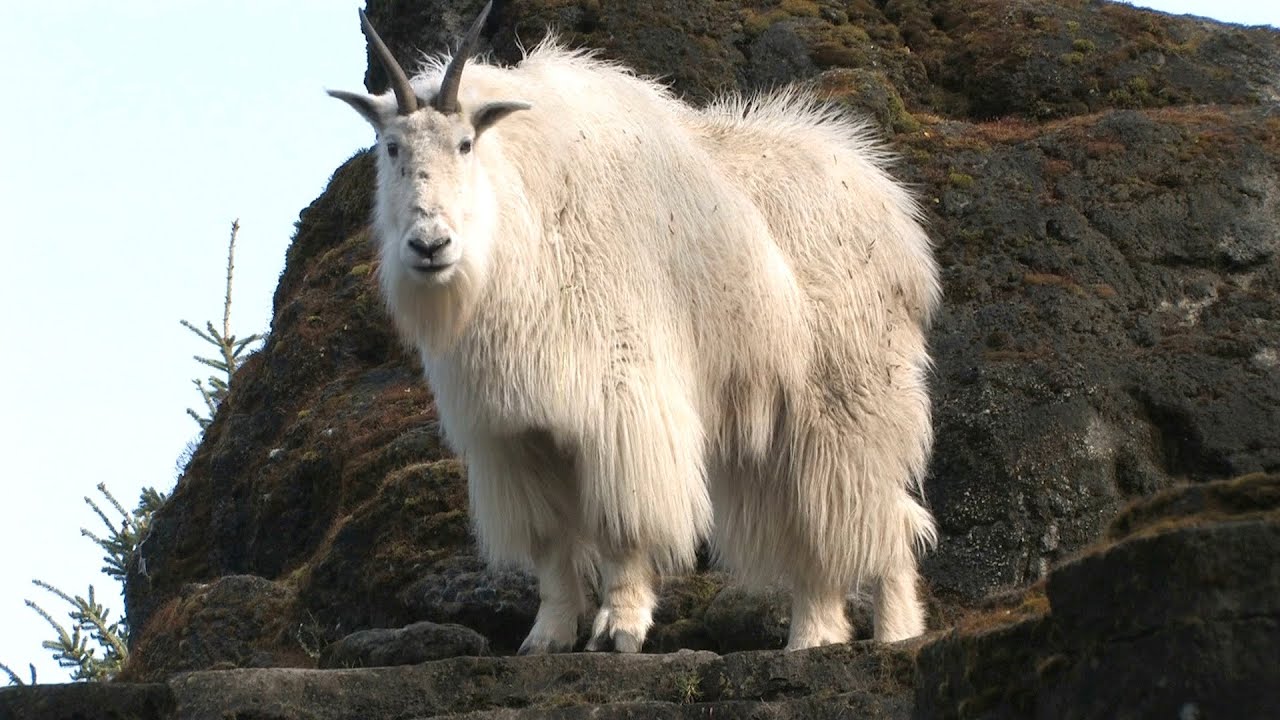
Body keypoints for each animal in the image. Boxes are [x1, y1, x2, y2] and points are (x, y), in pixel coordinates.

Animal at [328, 1, 941, 653]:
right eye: (391, 147)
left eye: (466, 143)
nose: (430, 245)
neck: (526, 221)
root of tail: (900, 223)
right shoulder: (518, 432)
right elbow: (550, 543)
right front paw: (546, 637)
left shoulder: (620, 402)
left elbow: (623, 525)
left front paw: (619, 629)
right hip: (785, 424)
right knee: (817, 530)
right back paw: (811, 636)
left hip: (853, 401)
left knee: (877, 520)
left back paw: (893, 634)